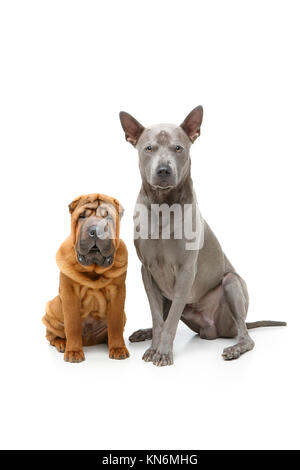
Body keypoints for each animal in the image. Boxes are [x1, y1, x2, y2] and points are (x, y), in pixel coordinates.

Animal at [42, 193, 129, 362]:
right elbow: (72, 325)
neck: (93, 269)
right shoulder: (69, 294)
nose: (95, 230)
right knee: (52, 335)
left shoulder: (117, 294)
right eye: (82, 216)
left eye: (108, 217)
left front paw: (118, 348)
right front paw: (74, 352)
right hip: (53, 309)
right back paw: (62, 343)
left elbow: (115, 325)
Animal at [119, 106, 286, 368]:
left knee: (246, 336)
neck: (162, 206)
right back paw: (145, 333)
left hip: (231, 284)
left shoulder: (186, 271)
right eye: (149, 148)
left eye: (178, 148)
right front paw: (154, 347)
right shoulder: (147, 270)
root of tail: (213, 330)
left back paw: (235, 349)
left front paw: (162, 353)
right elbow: (158, 318)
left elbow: (170, 322)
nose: (163, 170)